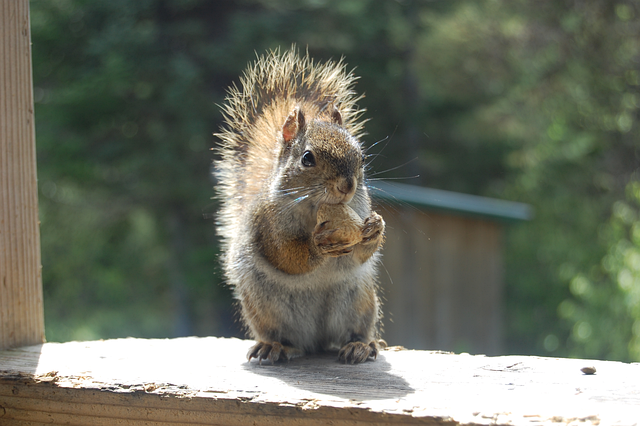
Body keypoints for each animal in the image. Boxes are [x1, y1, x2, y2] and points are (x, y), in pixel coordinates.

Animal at [214, 48, 384, 364]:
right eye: (307, 158)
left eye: (362, 157)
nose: (347, 186)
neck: (315, 208)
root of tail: (316, 340)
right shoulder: (267, 224)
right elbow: (284, 255)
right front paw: (317, 244)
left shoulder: (359, 209)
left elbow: (359, 255)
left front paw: (375, 228)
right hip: (266, 308)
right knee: (284, 336)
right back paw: (274, 346)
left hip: (360, 301)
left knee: (353, 330)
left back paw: (360, 345)